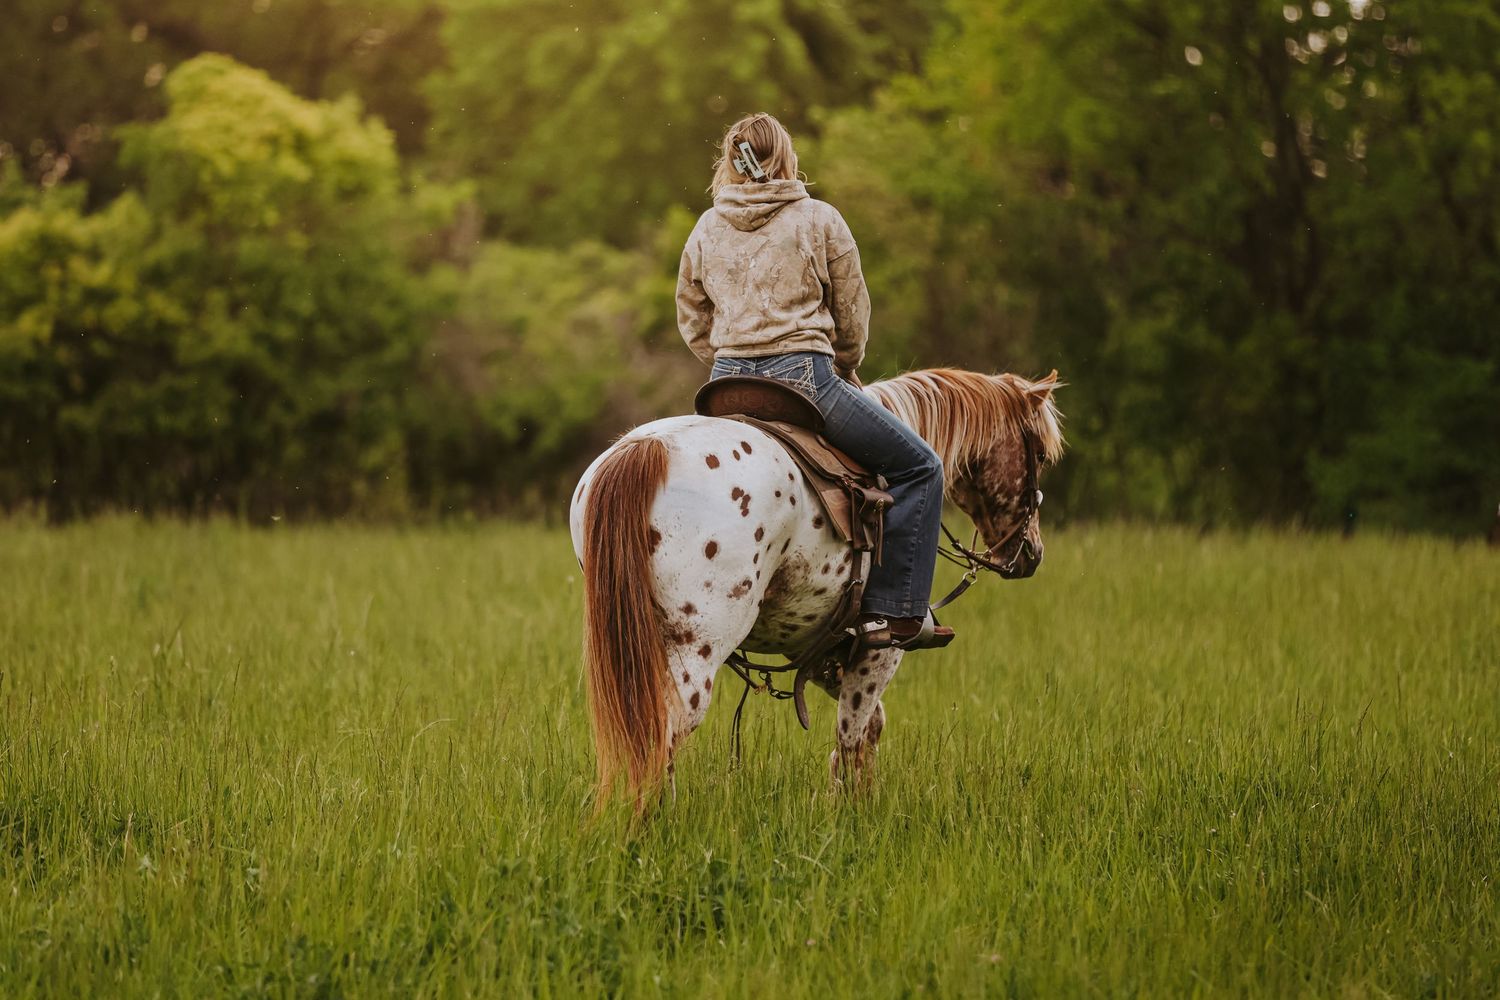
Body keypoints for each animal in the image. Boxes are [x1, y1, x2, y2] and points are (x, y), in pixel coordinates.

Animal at [568, 367, 1064, 807]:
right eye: (1039, 455)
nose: (1030, 554)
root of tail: (648, 448)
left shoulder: (822, 649)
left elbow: (869, 729)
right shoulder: (881, 649)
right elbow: (852, 734)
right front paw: (851, 813)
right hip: (697, 649)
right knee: (663, 736)